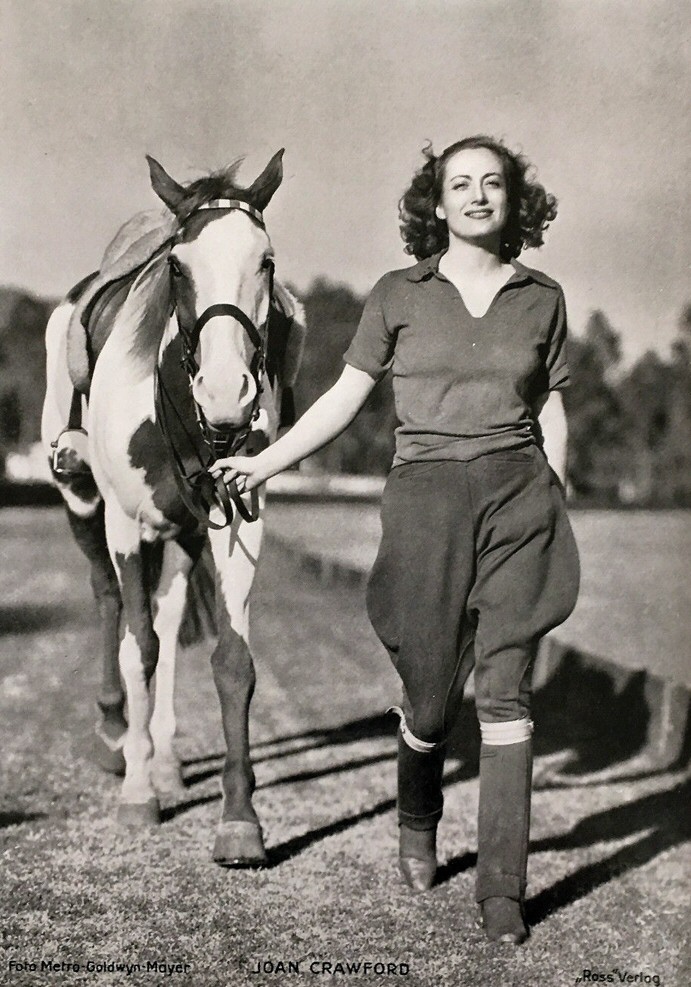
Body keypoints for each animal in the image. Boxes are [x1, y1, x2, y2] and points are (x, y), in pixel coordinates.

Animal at [40, 149, 306, 864]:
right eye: (178, 267)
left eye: (267, 261)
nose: (226, 393)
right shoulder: (124, 526)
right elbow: (139, 648)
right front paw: (137, 792)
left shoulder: (239, 524)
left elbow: (232, 662)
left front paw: (238, 819)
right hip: (82, 506)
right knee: (110, 601)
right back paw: (115, 735)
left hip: (185, 539)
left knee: (167, 611)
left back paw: (159, 756)